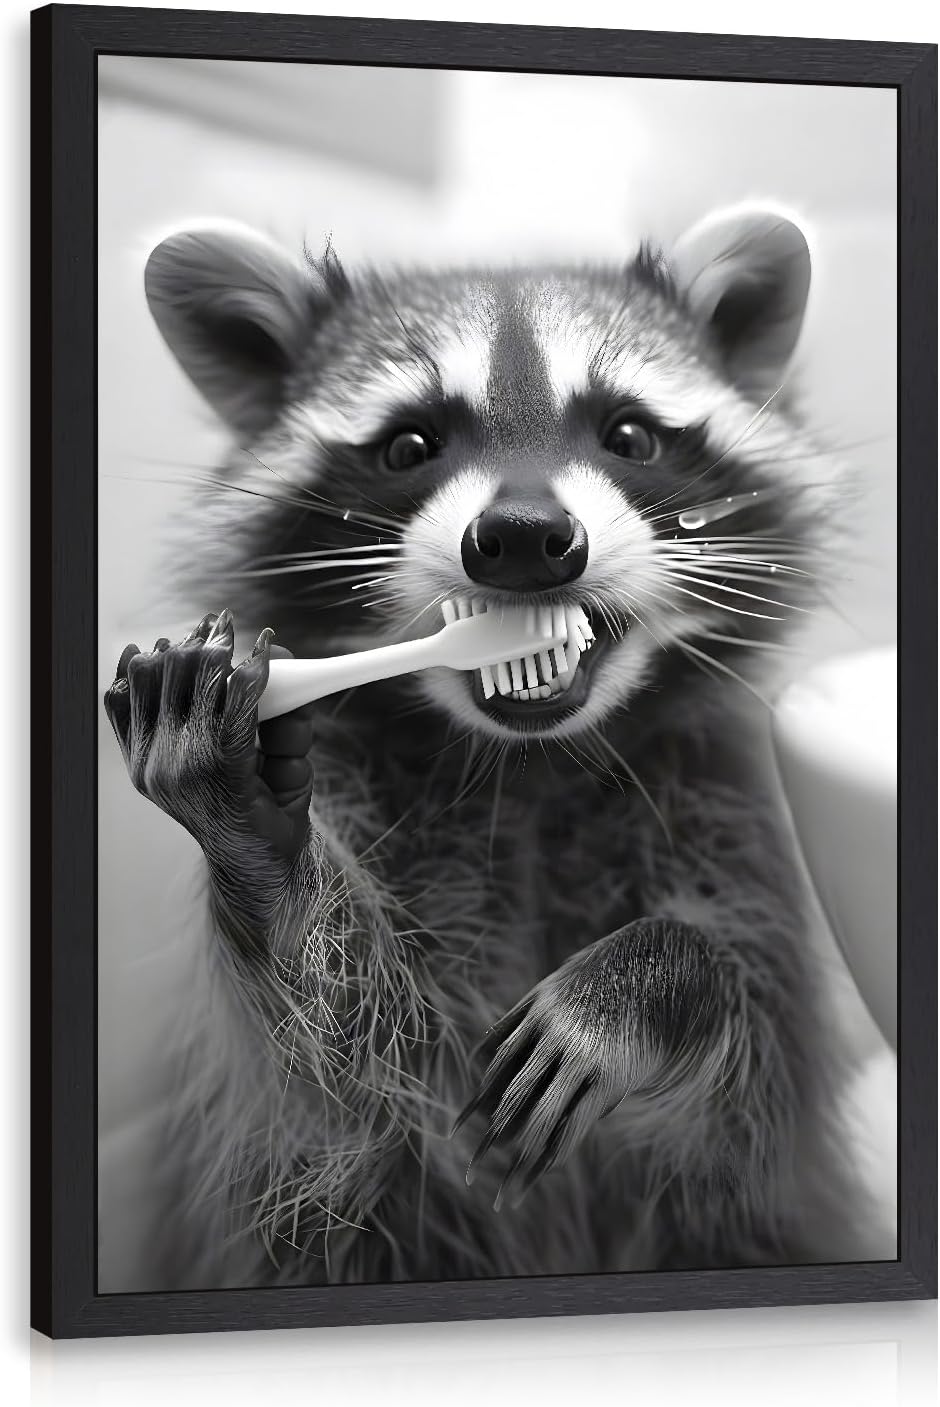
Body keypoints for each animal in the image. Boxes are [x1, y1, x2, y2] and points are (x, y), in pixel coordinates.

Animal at [104, 205, 875, 1290]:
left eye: (629, 433)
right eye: (408, 445)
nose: (521, 535)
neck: (530, 762)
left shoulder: (729, 820)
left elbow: (746, 1104)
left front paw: (653, 979)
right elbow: (335, 1078)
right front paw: (262, 856)